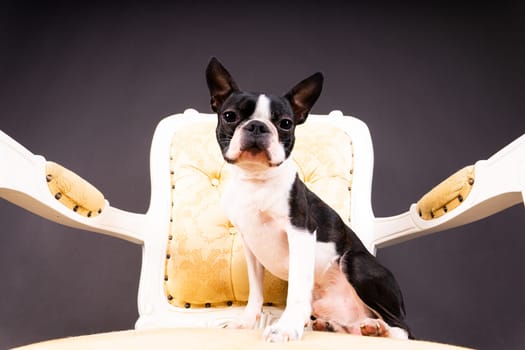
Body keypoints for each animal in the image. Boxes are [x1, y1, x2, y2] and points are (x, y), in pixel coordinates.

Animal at [207, 57, 412, 342]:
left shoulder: (300, 233)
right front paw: (245, 322)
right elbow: (256, 292)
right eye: (229, 116)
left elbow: (296, 291)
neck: (257, 181)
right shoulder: (250, 245)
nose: (257, 126)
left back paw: (379, 329)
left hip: (356, 262)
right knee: (354, 325)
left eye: (285, 123)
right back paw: (343, 326)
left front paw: (286, 327)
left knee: (402, 329)